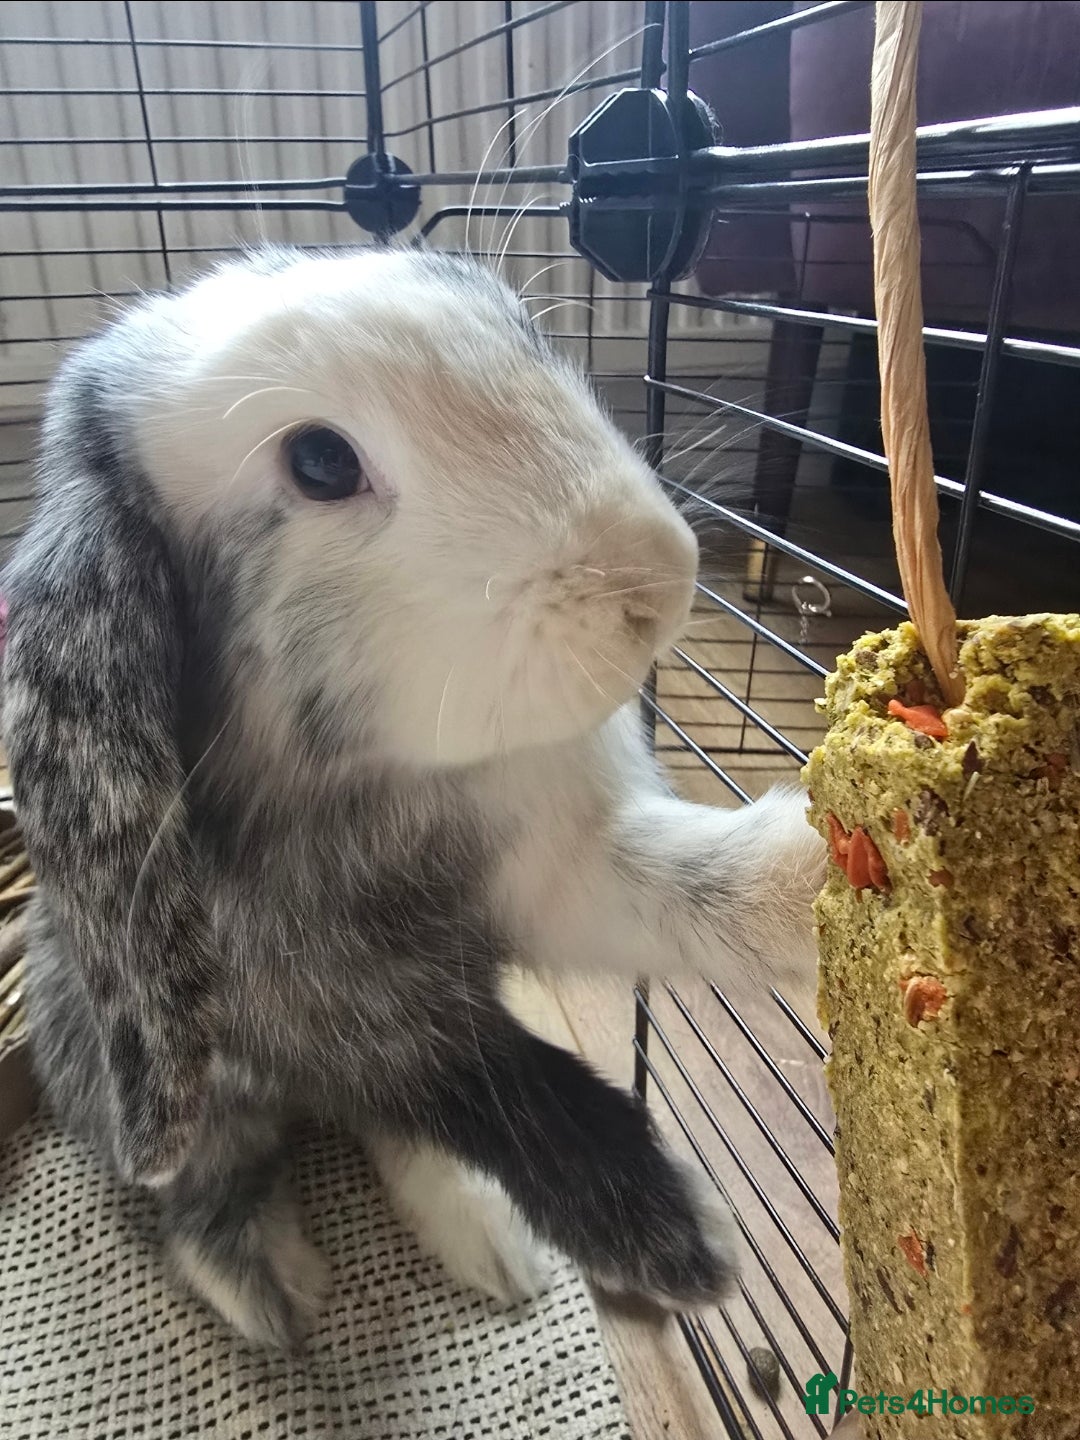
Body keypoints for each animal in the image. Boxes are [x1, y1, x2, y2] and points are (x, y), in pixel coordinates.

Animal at [2, 245, 825, 1349]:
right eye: (320, 463)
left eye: (518, 327)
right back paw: (269, 1292)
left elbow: (695, 884)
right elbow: (500, 1094)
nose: (660, 581)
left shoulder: (558, 871)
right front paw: (687, 1244)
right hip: (123, 1051)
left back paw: (487, 1243)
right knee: (204, 1176)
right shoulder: (354, 1022)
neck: (363, 787)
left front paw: (853, 853)